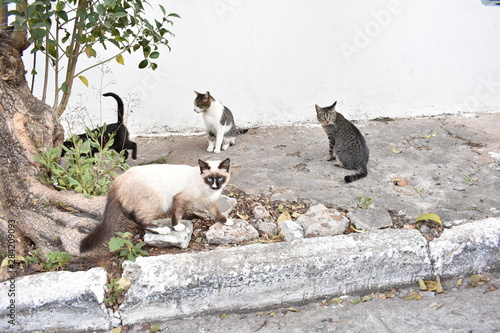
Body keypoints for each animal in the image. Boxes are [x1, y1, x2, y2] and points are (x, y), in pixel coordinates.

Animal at [80, 158, 232, 252]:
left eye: (220, 178)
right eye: (209, 179)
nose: (215, 186)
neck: (206, 188)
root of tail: (118, 179)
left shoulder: (208, 202)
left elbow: (217, 213)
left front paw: (226, 221)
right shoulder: (180, 199)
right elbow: (177, 215)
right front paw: (176, 227)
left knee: (132, 216)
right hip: (157, 200)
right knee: (140, 219)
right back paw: (161, 230)